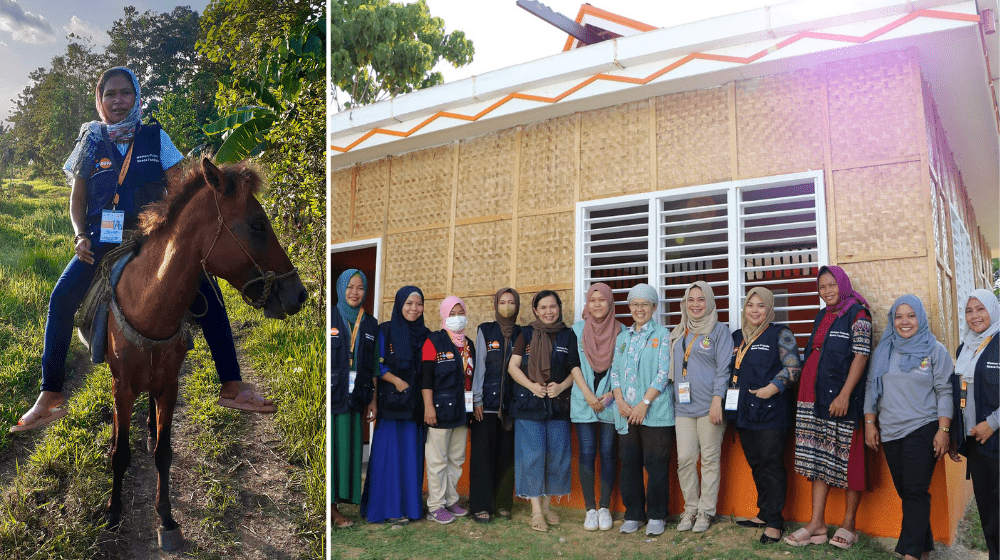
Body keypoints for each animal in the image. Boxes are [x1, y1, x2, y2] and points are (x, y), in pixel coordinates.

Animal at [102, 159, 306, 552]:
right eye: (257, 224)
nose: (299, 294)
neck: (150, 305)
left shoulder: (169, 385)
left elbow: (163, 453)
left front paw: (166, 520)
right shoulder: (123, 386)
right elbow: (121, 455)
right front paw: (113, 513)